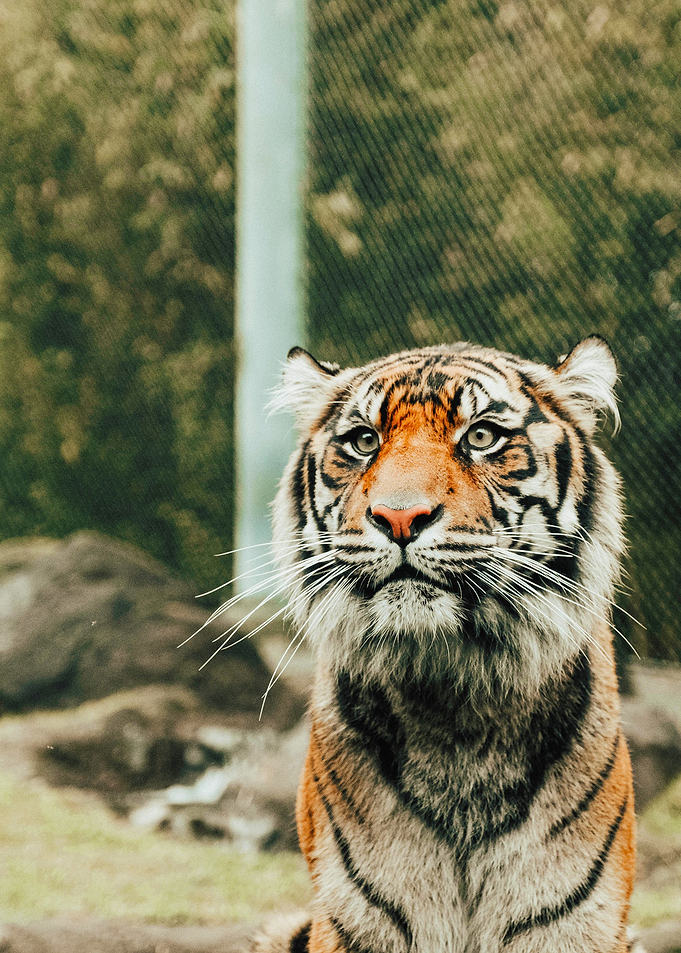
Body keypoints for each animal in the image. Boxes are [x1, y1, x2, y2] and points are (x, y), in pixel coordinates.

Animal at [253, 337, 637, 953]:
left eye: (481, 436)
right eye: (364, 441)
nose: (399, 516)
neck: (453, 697)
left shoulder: (571, 922)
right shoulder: (354, 918)